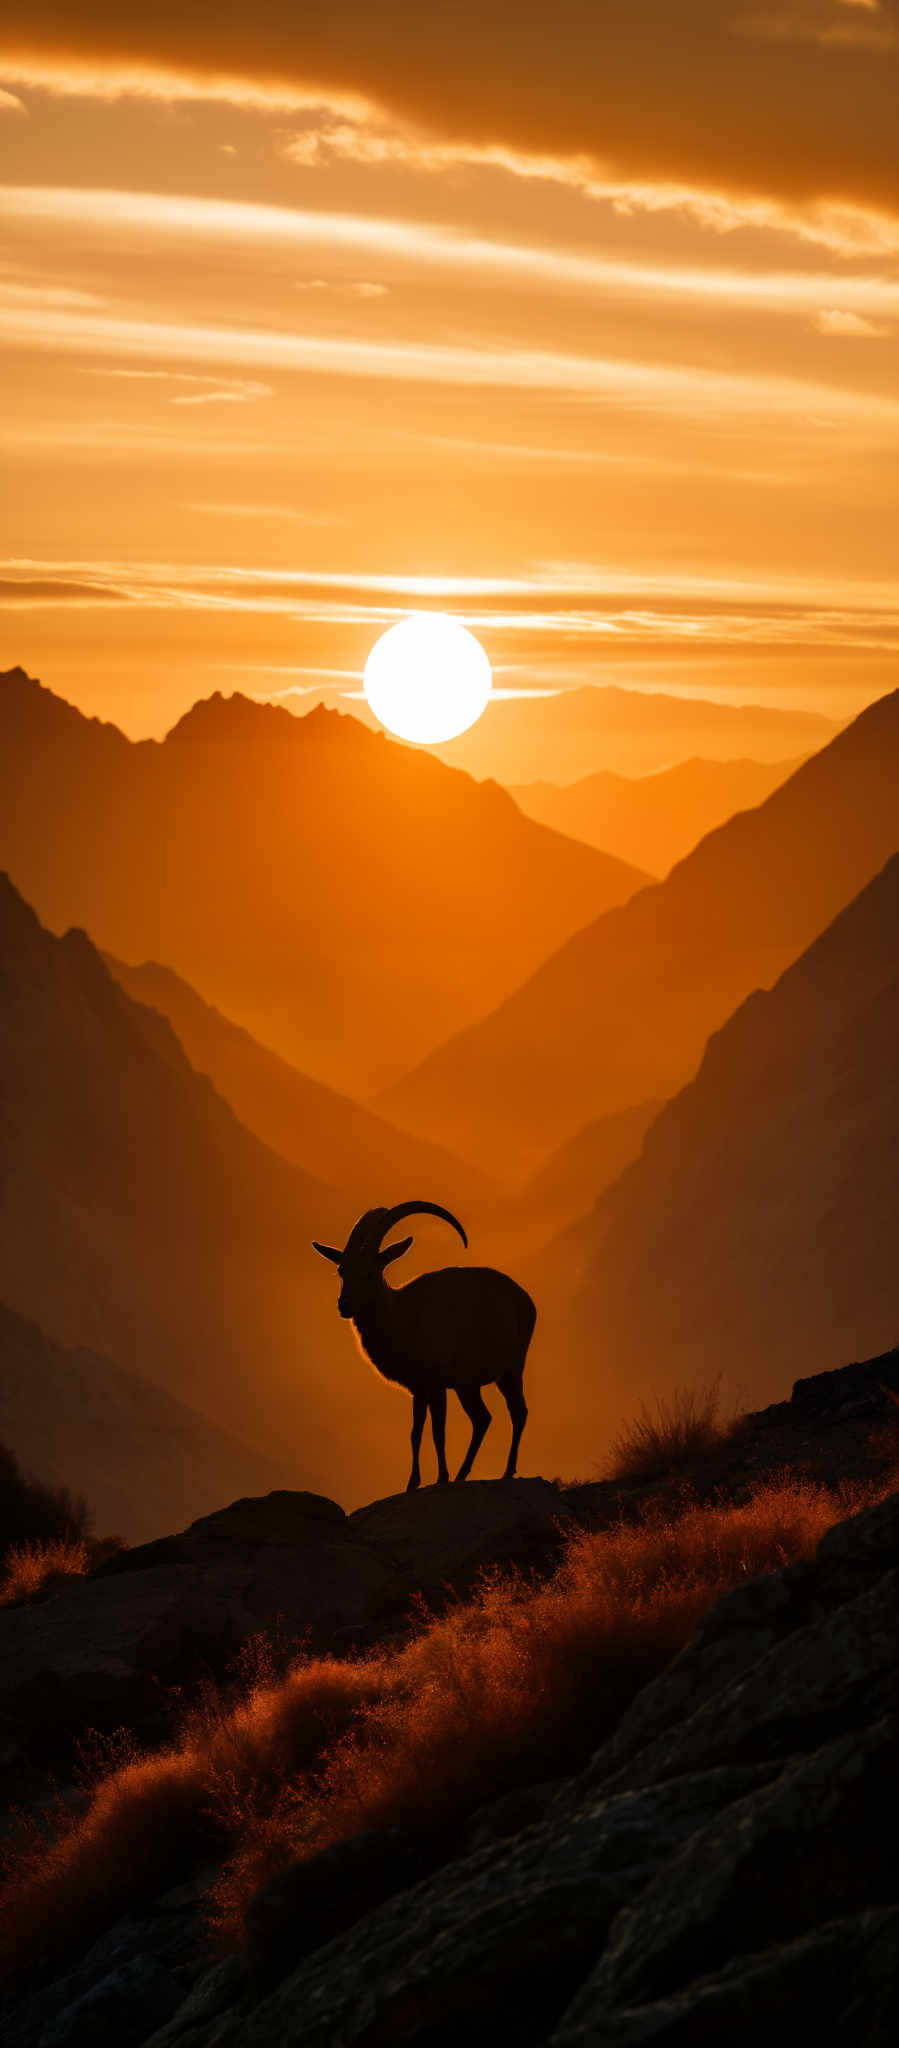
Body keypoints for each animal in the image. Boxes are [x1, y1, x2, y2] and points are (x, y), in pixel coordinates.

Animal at [313, 1196, 536, 1490]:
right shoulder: (417, 1388)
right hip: (467, 1385)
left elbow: (437, 1430)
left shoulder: (436, 1384)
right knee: (483, 1418)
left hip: (510, 1368)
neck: (401, 1316)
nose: (344, 1305)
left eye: (370, 1272)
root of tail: (526, 1301)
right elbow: (415, 1432)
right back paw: (463, 1474)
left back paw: (507, 1471)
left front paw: (440, 1478)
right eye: (341, 1270)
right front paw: (412, 1483)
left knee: (517, 1411)